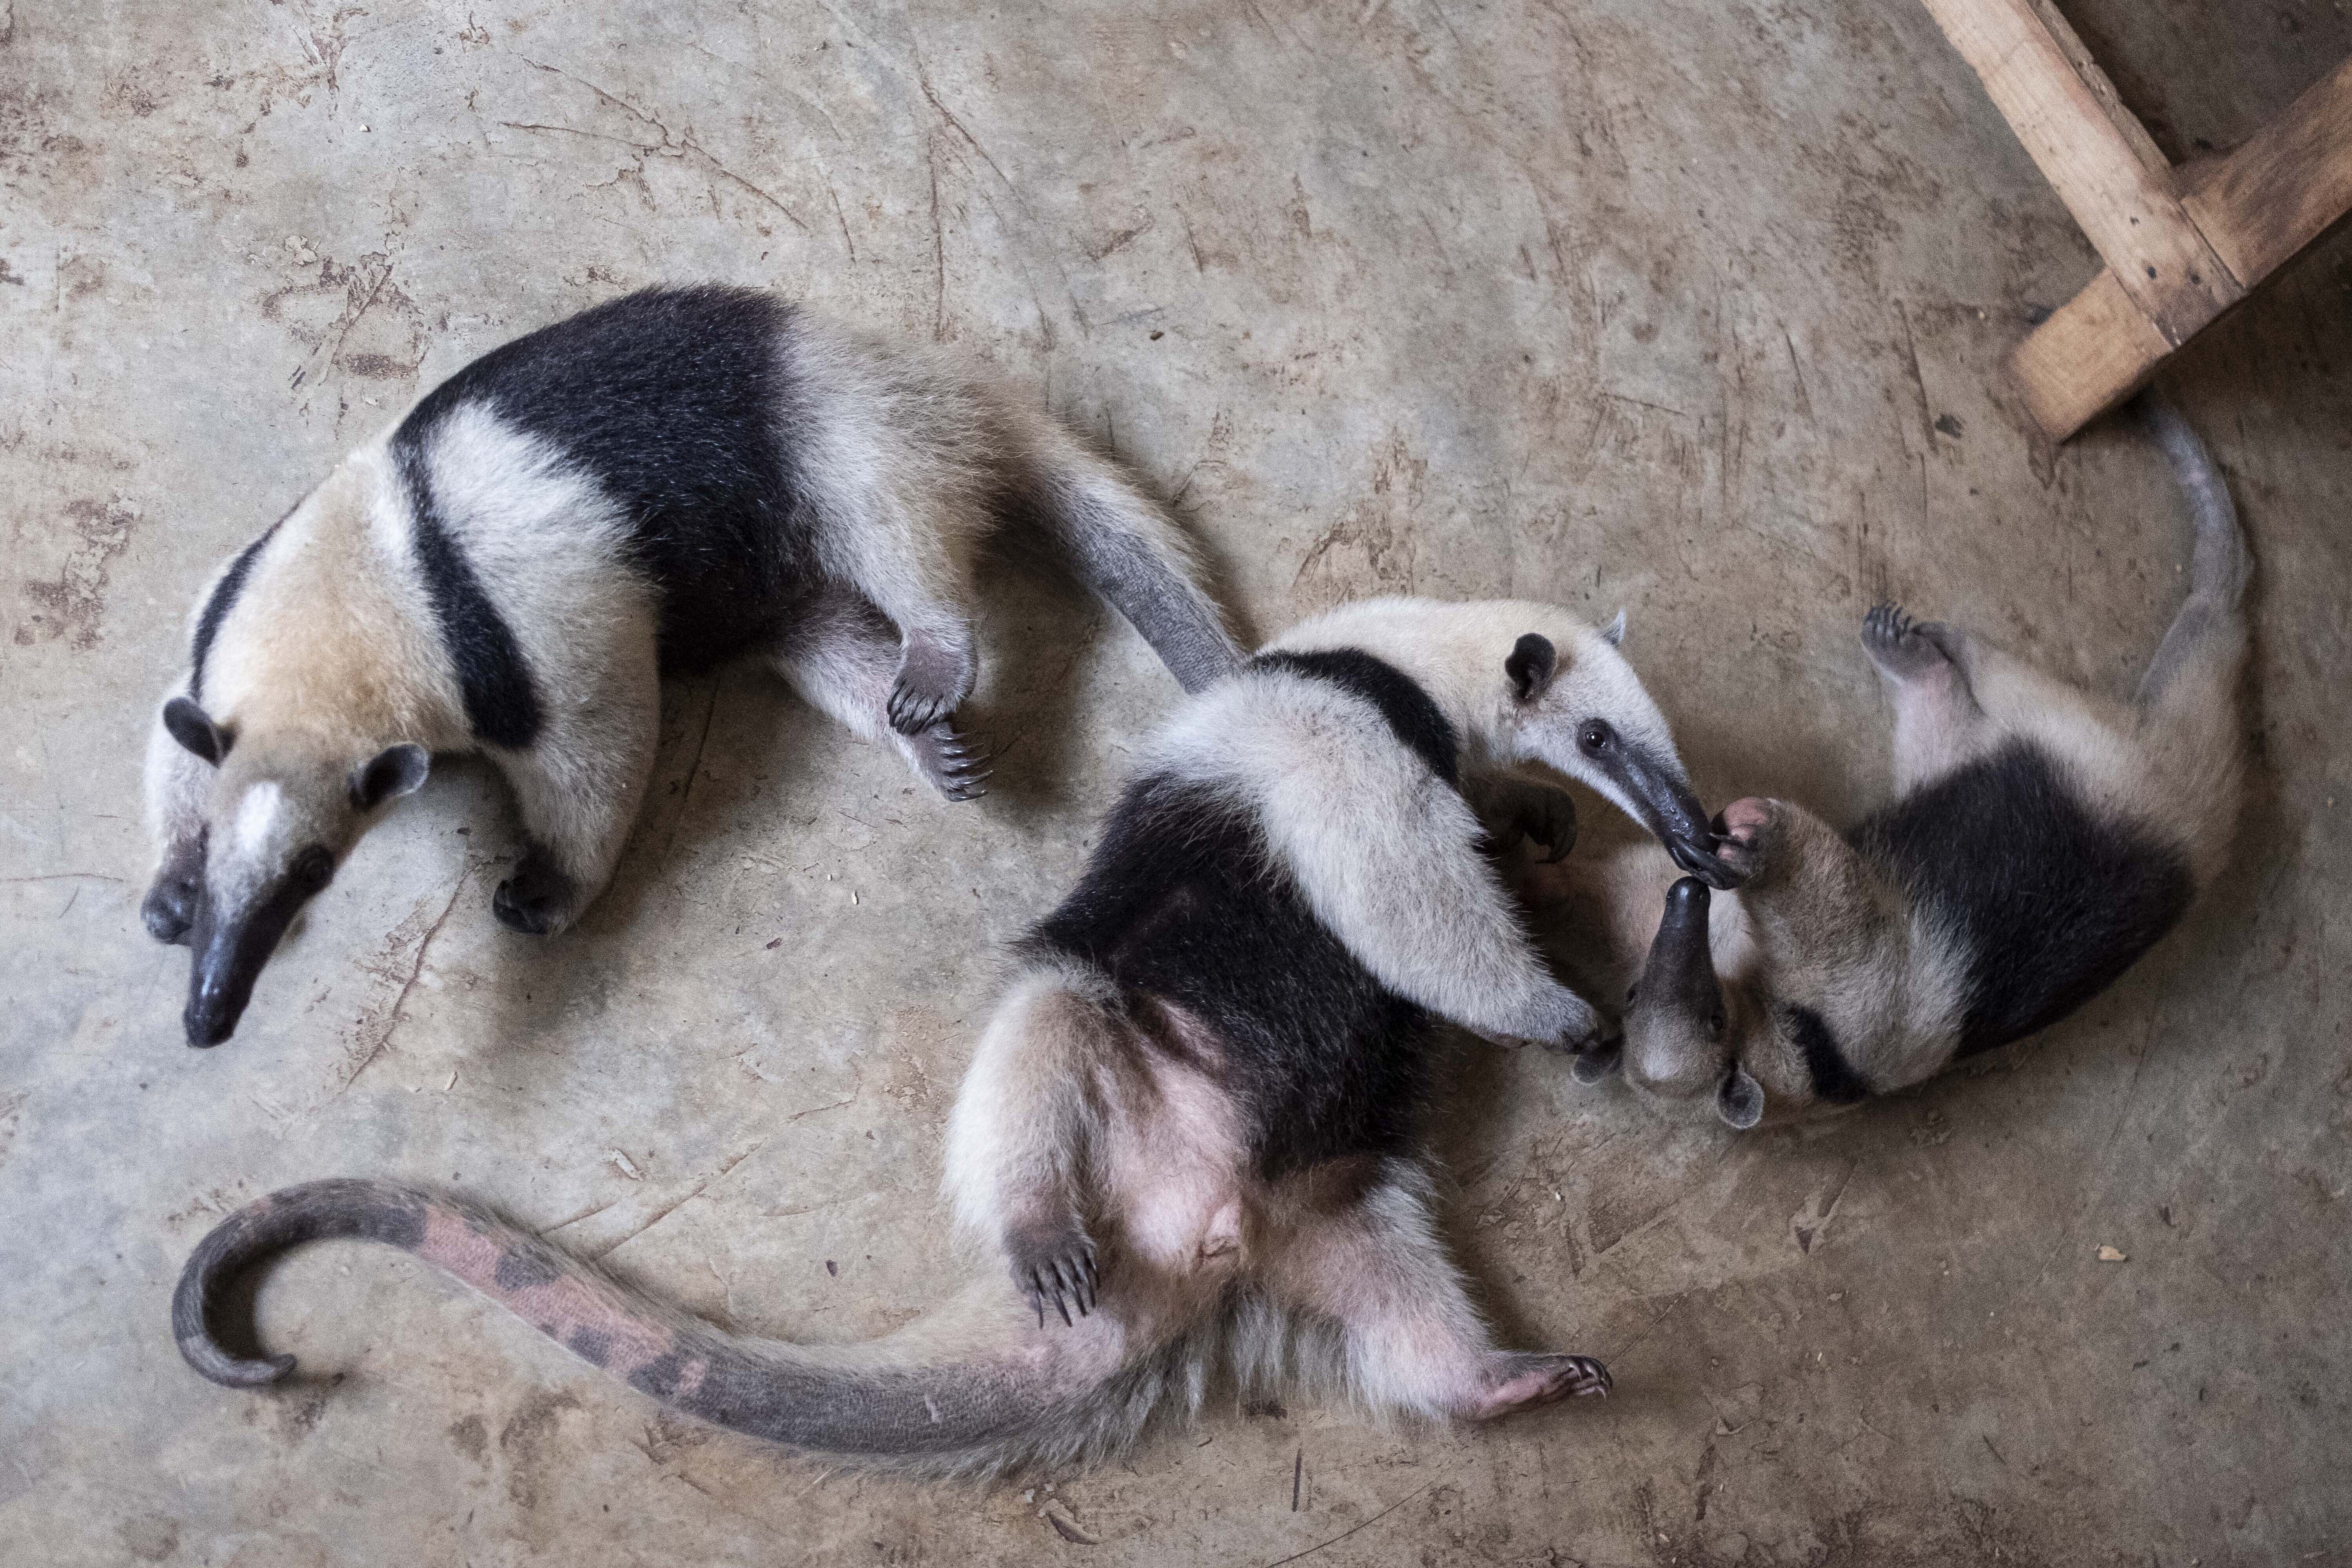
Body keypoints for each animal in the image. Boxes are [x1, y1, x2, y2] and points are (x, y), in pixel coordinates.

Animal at [139, 285, 1241, 1047]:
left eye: (319, 867)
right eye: (232, 844)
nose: (207, 1018)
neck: (386, 574)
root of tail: (948, 385)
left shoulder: (545, 632)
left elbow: (596, 748)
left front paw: (538, 895)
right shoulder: (218, 628)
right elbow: (176, 745)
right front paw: (169, 890)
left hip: (831, 427)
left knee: (891, 528)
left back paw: (936, 663)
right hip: (767, 577)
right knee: (829, 641)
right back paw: (929, 744)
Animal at [175, 595, 1742, 1476]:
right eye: (1602, 735)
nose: (1700, 847)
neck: (1389, 658)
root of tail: (1188, 1232)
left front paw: (1535, 835)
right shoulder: (1334, 746)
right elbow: (1403, 895)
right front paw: (1562, 1011)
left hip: (1335, 1194)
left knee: (1399, 1286)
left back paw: (1512, 1377)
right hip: (1133, 1059)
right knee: (1047, 1036)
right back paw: (1041, 1236)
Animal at [1509, 392, 2247, 1129]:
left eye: (1713, 1018)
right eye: (1633, 996)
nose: (1689, 895)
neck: (1792, 1057)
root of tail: (2194, 801)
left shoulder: (1853, 1002)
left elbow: (1820, 905)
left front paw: (1743, 841)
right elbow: (1627, 889)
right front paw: (1544, 874)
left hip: (2091, 756)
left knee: (1994, 693)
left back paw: (1920, 641)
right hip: (2080, 756)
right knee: (1961, 715)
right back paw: (1918, 651)